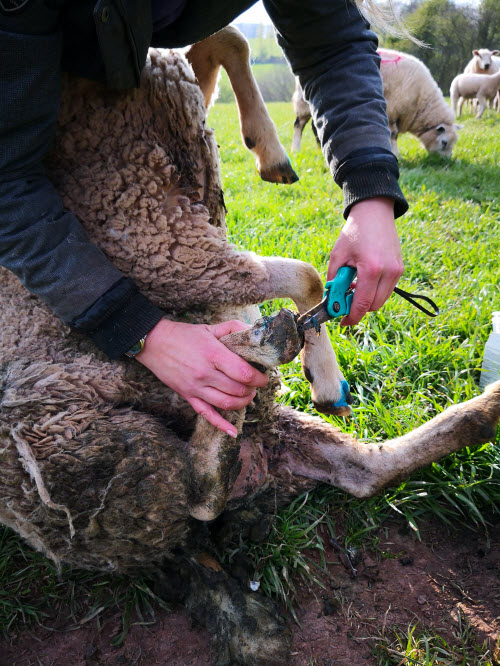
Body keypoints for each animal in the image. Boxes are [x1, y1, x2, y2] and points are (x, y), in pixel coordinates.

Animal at [292, 49, 460, 157]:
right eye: (444, 142)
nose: (446, 162)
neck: (421, 102)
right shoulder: (393, 109)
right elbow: (393, 134)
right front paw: (396, 154)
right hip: (303, 101)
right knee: (298, 125)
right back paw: (296, 150)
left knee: (315, 127)